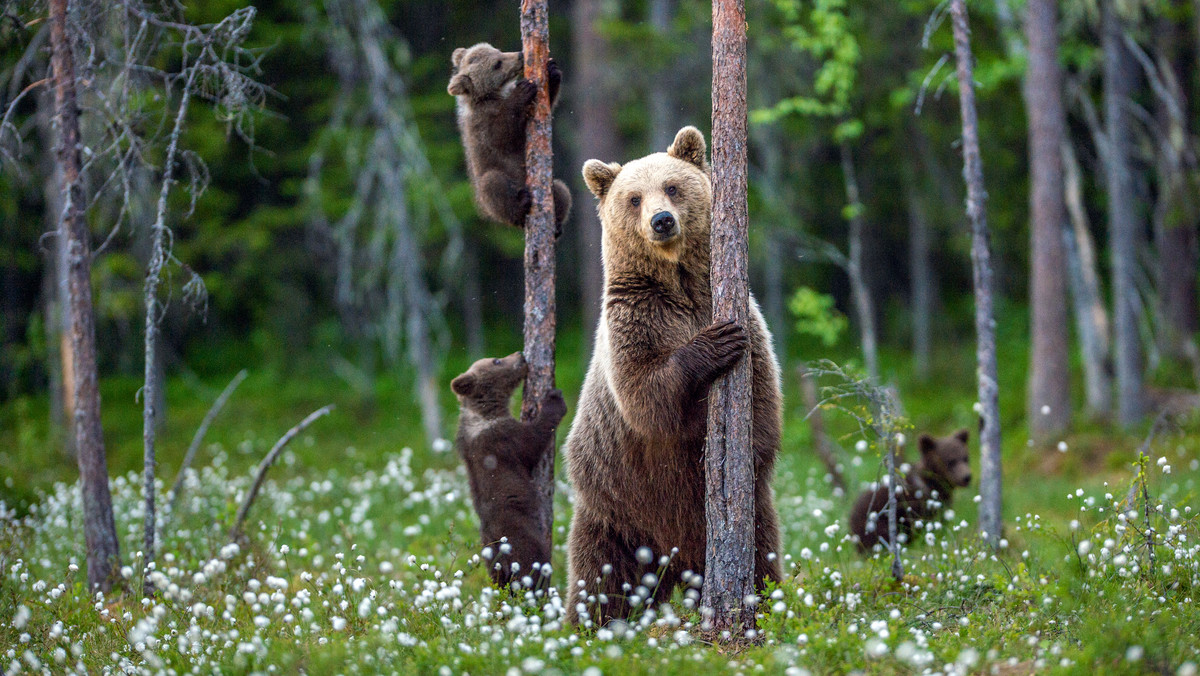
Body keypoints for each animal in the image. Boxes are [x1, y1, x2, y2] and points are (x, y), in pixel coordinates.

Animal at [451, 353, 566, 590]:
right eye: (496, 360)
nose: (520, 355)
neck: (485, 413)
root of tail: (498, 551)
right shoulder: (503, 439)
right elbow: (533, 441)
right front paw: (554, 399)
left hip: (489, 560)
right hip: (521, 539)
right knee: (532, 568)